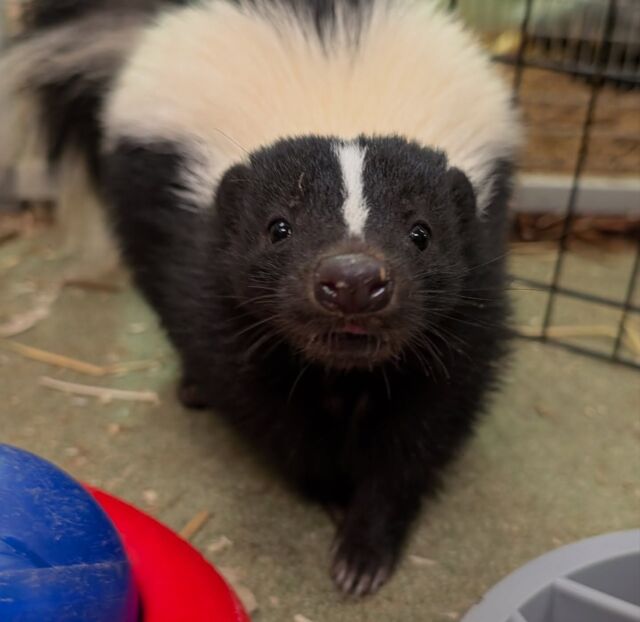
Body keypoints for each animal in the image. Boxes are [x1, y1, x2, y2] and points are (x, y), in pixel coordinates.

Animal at [0, 0, 520, 600]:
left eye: (421, 233)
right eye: (279, 228)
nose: (353, 279)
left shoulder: (473, 284)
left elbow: (426, 419)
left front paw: (364, 547)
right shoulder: (208, 274)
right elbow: (260, 400)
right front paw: (329, 486)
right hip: (139, 194)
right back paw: (192, 388)